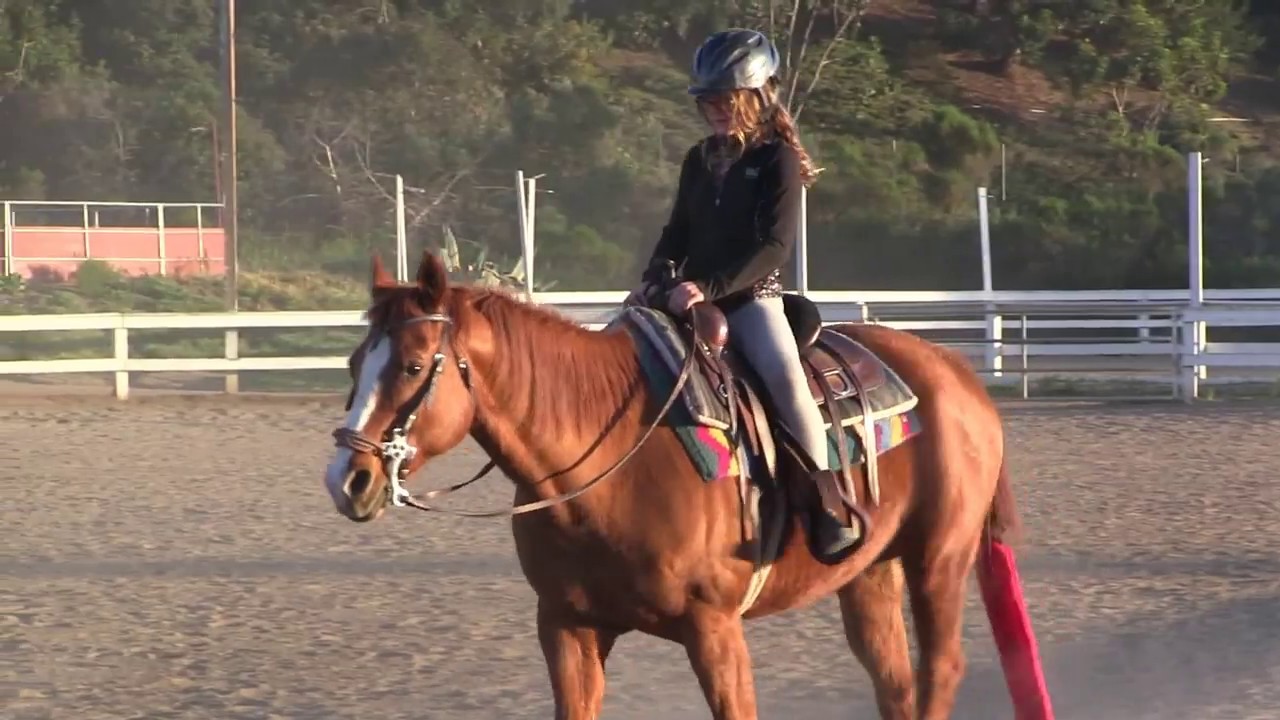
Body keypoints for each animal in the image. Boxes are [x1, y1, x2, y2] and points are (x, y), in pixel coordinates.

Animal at [322, 250, 1054, 720]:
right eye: (356, 362)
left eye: (413, 365)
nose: (347, 479)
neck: (608, 462)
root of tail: (954, 372)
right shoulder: (567, 626)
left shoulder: (714, 631)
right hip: (871, 572)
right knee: (895, 686)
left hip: (938, 560)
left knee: (939, 673)